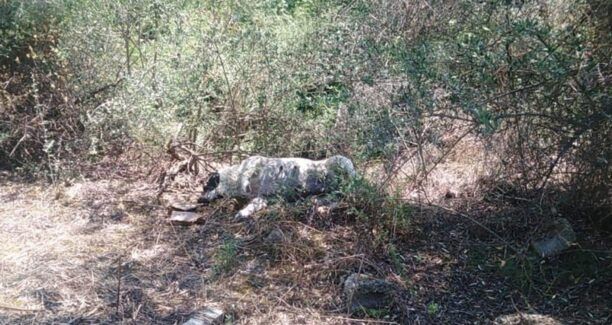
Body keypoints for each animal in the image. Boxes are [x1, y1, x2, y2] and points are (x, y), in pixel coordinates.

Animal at [198, 155, 356, 218]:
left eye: (206, 187)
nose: (198, 200)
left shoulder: (253, 164)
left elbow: (247, 174)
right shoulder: (262, 198)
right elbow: (253, 204)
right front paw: (243, 212)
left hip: (340, 161)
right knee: (334, 197)